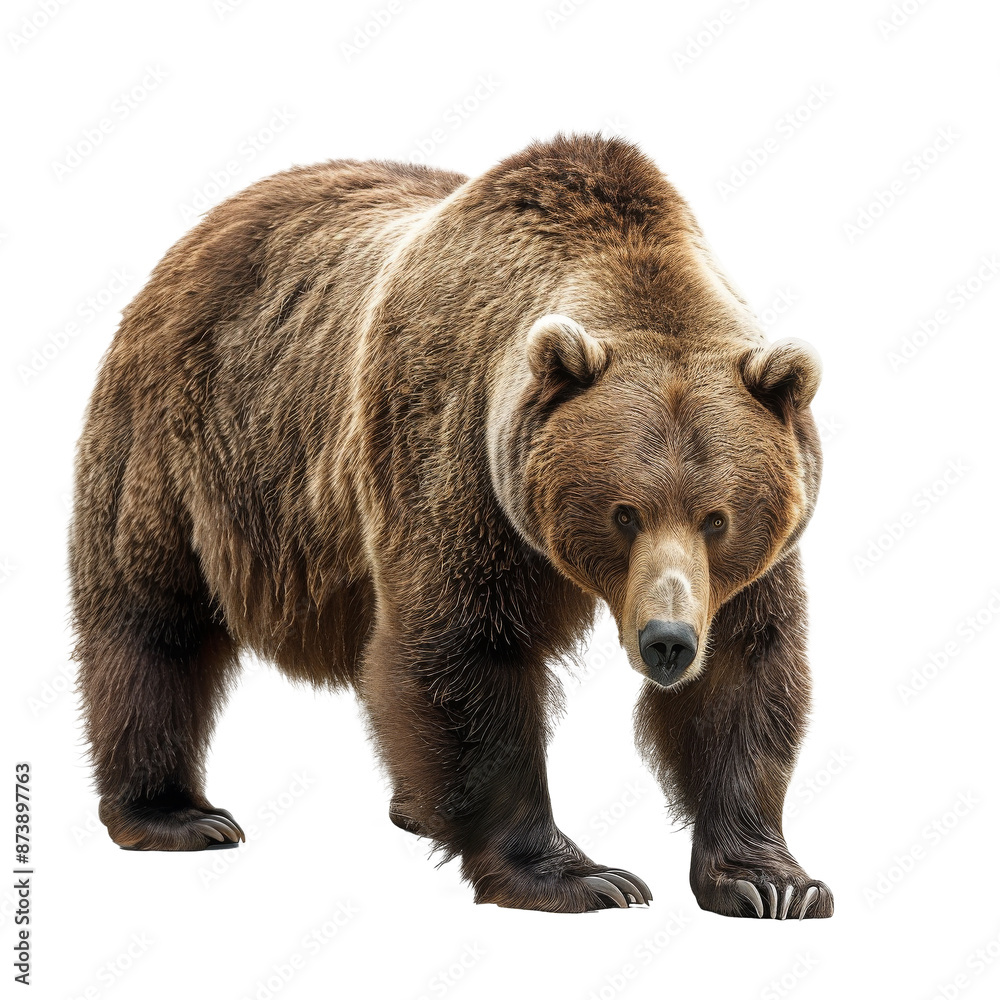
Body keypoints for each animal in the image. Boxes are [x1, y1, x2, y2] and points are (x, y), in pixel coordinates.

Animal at [69, 133, 832, 918]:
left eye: (717, 518)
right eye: (624, 512)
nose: (667, 641)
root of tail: (203, 230)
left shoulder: (750, 556)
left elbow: (743, 667)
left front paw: (770, 880)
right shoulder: (456, 454)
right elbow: (467, 648)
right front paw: (578, 875)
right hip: (186, 448)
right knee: (153, 621)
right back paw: (176, 813)